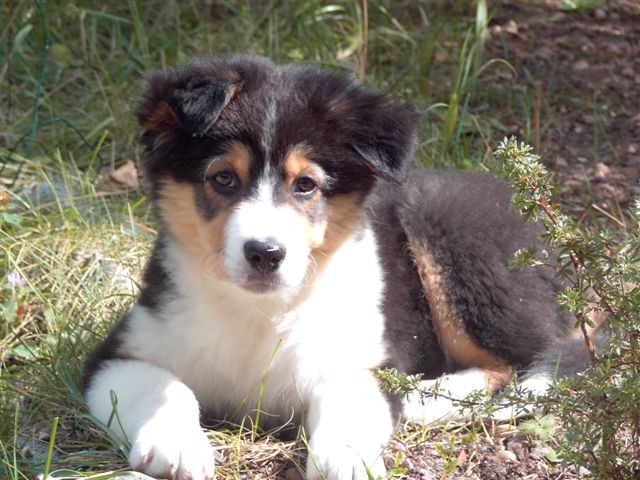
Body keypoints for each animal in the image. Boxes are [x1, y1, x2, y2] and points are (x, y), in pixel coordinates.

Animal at [84, 55, 583, 480]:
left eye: (306, 185)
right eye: (223, 178)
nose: (265, 253)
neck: (261, 313)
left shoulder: (360, 358)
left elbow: (345, 406)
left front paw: (347, 461)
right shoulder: (121, 353)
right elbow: (163, 387)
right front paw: (177, 444)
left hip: (450, 234)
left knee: (532, 359)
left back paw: (421, 400)